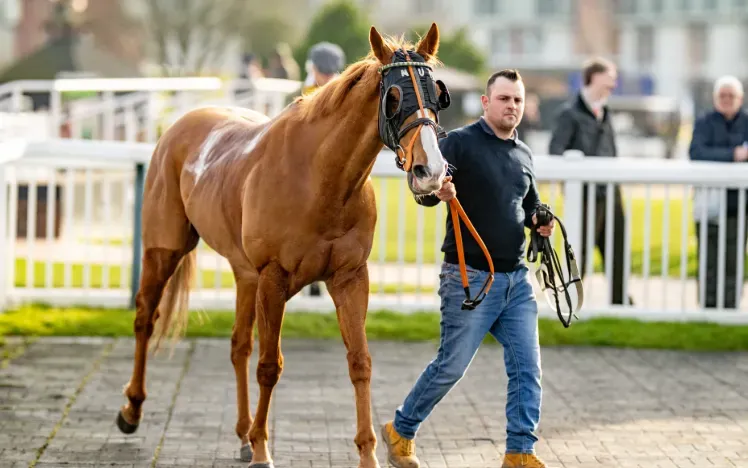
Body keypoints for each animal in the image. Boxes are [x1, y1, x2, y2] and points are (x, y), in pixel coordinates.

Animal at [115, 23, 451, 468]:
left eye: (437, 94)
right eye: (393, 97)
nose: (430, 170)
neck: (320, 179)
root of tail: (179, 126)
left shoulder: (349, 277)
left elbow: (359, 361)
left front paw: (367, 452)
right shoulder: (273, 277)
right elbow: (269, 365)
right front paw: (262, 447)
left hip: (244, 275)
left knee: (238, 344)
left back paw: (241, 433)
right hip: (163, 250)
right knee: (145, 319)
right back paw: (133, 409)